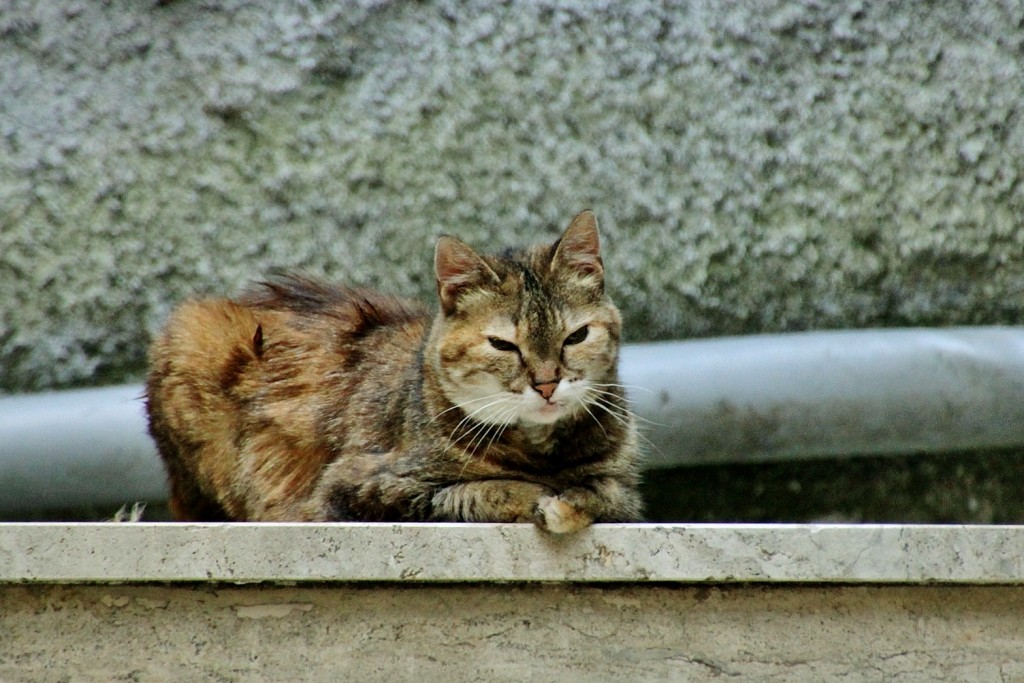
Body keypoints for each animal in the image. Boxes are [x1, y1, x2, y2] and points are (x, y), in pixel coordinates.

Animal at [144, 210, 638, 532]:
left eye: (576, 336)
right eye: (503, 344)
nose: (547, 383)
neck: (543, 452)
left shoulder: (624, 489)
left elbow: (607, 492)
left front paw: (570, 501)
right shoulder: (358, 487)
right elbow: (480, 488)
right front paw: (539, 498)